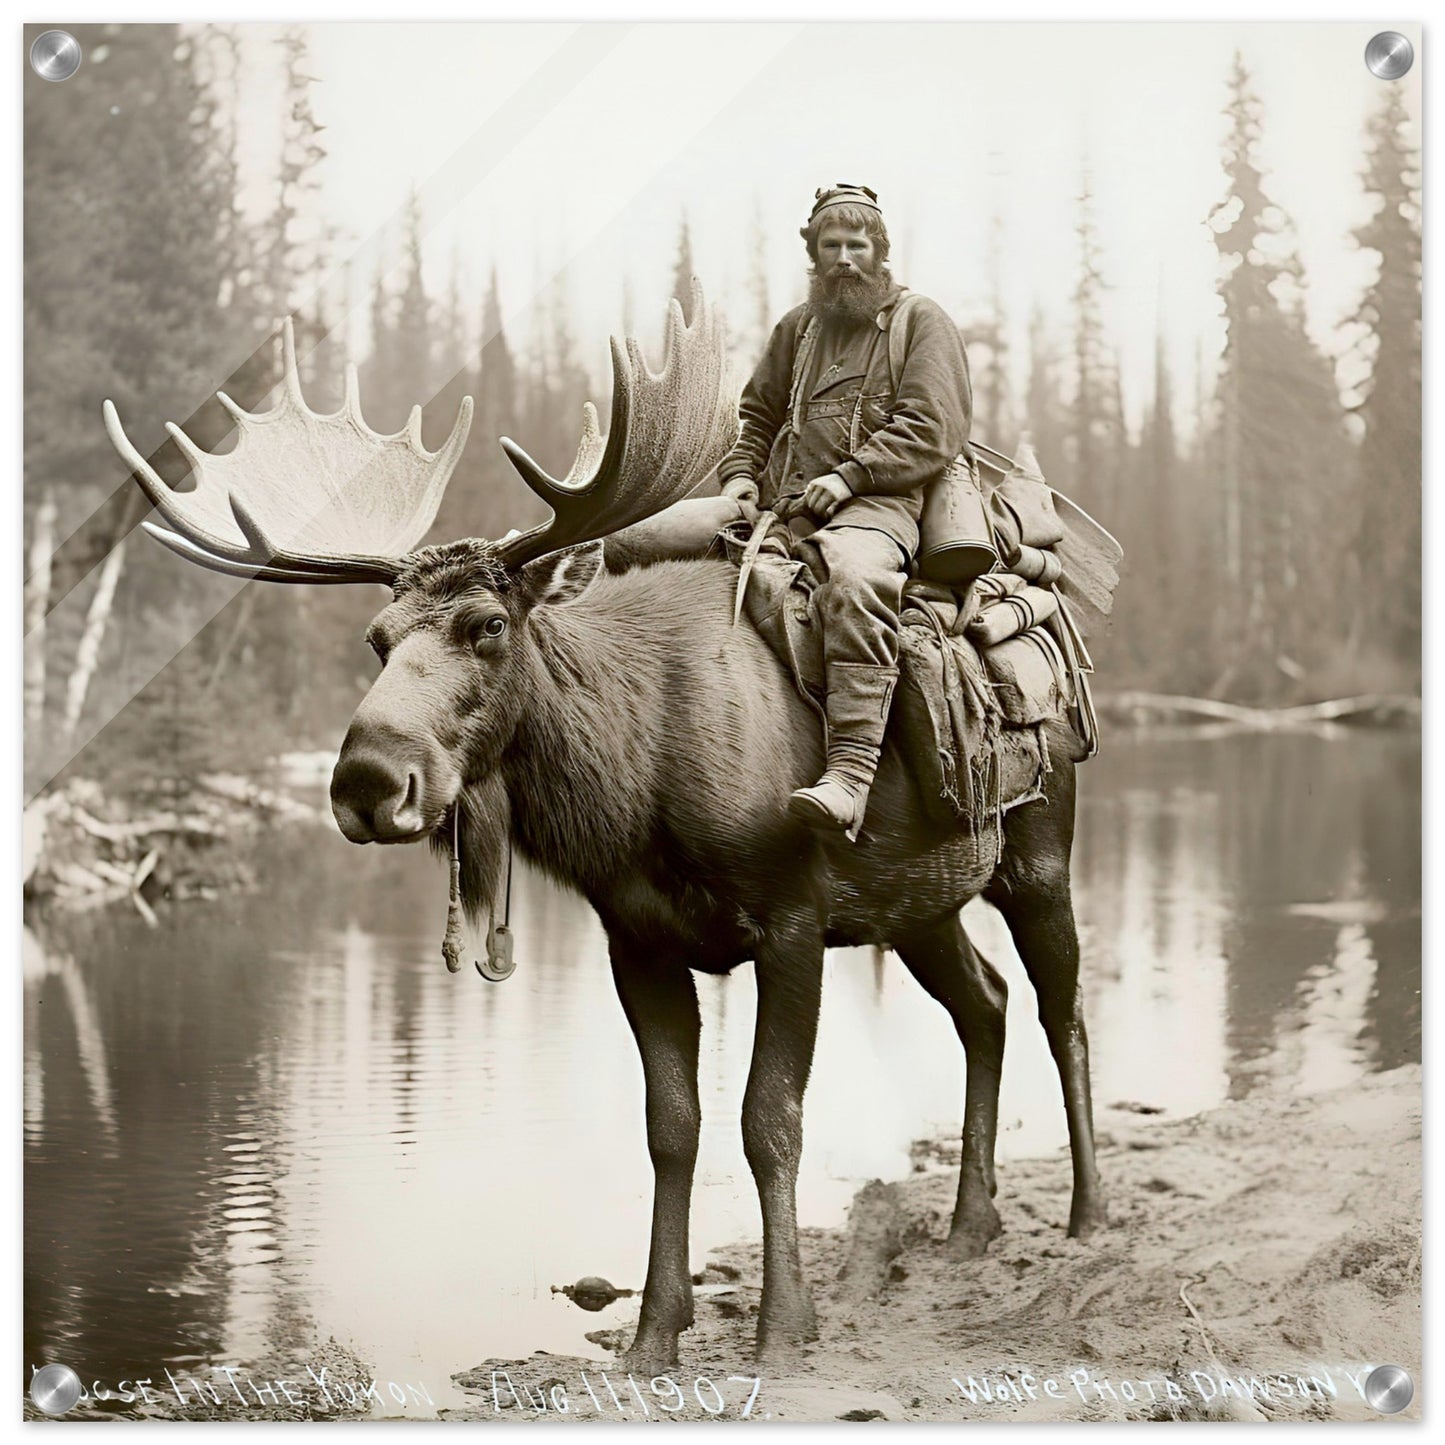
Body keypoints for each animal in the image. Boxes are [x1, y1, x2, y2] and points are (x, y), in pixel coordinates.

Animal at [103, 286, 1107, 1373]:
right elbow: (671, 1126)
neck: (636, 783)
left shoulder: (792, 918)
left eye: (487, 626)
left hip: (1035, 853)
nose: (368, 779)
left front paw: (782, 1324)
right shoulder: (637, 939)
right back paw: (971, 1220)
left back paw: (1088, 1210)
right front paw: (654, 1331)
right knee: (985, 1003)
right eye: (375, 640)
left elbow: (769, 1119)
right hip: (915, 901)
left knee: (1059, 1006)